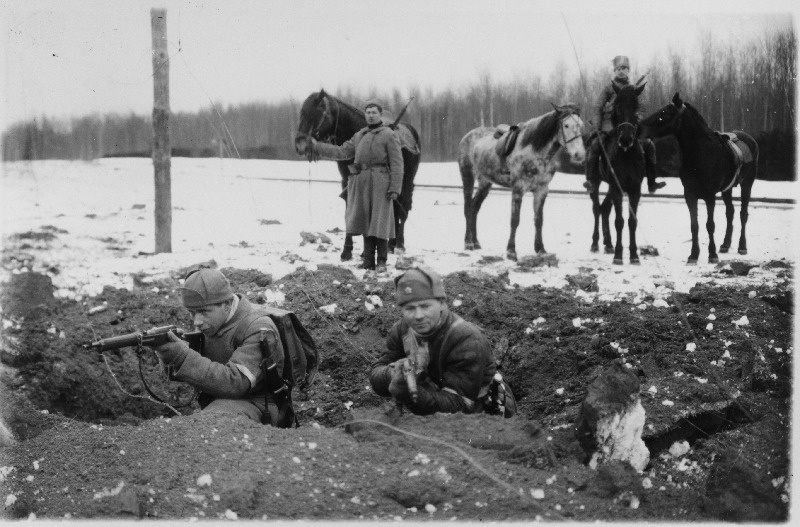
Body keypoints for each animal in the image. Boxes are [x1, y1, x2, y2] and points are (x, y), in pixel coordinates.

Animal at [292, 90, 418, 260]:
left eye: (319, 112)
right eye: (302, 112)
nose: (300, 145)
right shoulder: (347, 181)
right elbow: (350, 212)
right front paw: (348, 250)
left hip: (406, 181)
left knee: (402, 209)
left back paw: (399, 245)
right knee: (394, 209)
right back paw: (391, 244)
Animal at [588, 83, 648, 264]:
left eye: (636, 106)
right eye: (618, 106)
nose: (626, 139)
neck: (626, 155)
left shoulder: (635, 189)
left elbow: (632, 221)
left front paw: (634, 255)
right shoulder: (617, 188)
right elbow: (619, 221)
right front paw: (619, 255)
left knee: (604, 208)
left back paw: (608, 244)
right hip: (595, 182)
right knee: (596, 208)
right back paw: (595, 243)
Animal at [640, 93, 760, 266]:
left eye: (665, 113)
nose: (639, 128)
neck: (701, 153)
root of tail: (750, 139)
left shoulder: (710, 196)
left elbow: (710, 225)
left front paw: (712, 255)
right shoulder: (689, 195)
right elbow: (694, 226)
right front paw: (693, 255)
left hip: (747, 184)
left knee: (743, 214)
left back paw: (742, 247)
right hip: (727, 189)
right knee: (730, 212)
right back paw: (725, 245)